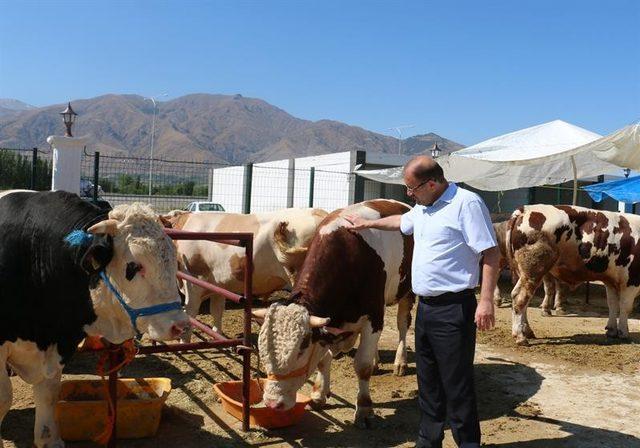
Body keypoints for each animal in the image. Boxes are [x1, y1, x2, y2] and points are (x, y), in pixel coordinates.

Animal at [0, 190, 190, 448]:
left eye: (173, 260)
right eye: (134, 265)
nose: (180, 325)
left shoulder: (59, 345)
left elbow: (49, 393)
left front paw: (49, 440)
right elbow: (4, 397)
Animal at [252, 199, 412, 428]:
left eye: (301, 348)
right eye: (262, 347)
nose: (273, 402)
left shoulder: (373, 315)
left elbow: (362, 365)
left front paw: (364, 409)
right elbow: (322, 359)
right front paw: (319, 394)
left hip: (407, 290)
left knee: (402, 325)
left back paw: (400, 362)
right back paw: (377, 361)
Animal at [504, 205, 640, 344]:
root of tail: (525, 209)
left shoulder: (611, 281)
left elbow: (613, 304)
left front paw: (612, 330)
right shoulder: (631, 280)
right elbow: (625, 306)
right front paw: (623, 333)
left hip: (524, 273)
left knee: (520, 297)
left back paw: (527, 331)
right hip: (533, 270)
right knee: (520, 298)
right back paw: (520, 336)